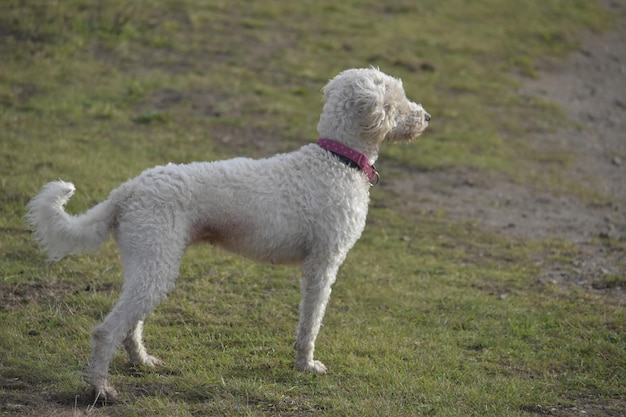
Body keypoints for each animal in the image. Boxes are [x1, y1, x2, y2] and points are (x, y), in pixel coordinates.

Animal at [28, 67, 428, 400]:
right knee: (106, 331)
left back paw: (141, 363)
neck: (337, 160)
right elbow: (310, 323)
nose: (427, 117)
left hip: (148, 261)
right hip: (156, 264)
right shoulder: (322, 265)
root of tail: (127, 190)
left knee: (130, 325)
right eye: (396, 100)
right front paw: (306, 366)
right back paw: (101, 389)